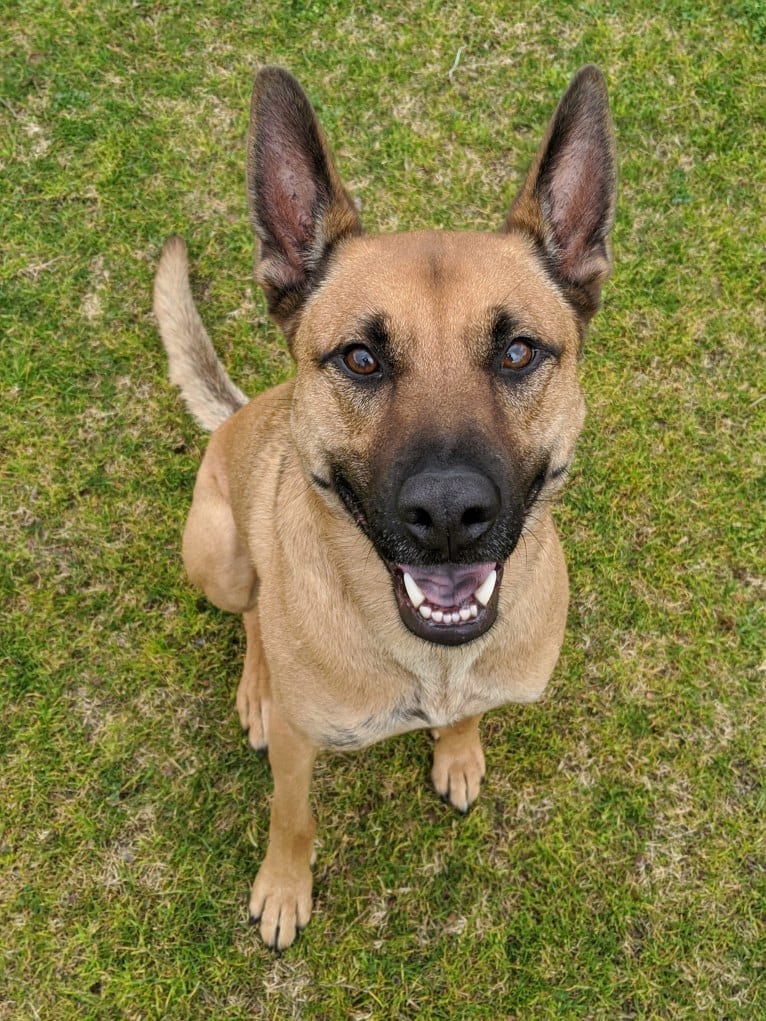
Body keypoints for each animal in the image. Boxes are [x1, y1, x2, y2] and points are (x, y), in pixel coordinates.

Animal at [154, 65, 616, 947]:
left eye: (518, 351)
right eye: (361, 358)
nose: (448, 514)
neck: (430, 664)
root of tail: (238, 414)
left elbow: (470, 716)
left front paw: (459, 751)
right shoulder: (300, 746)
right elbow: (291, 815)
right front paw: (284, 888)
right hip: (218, 555)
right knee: (251, 613)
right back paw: (258, 685)